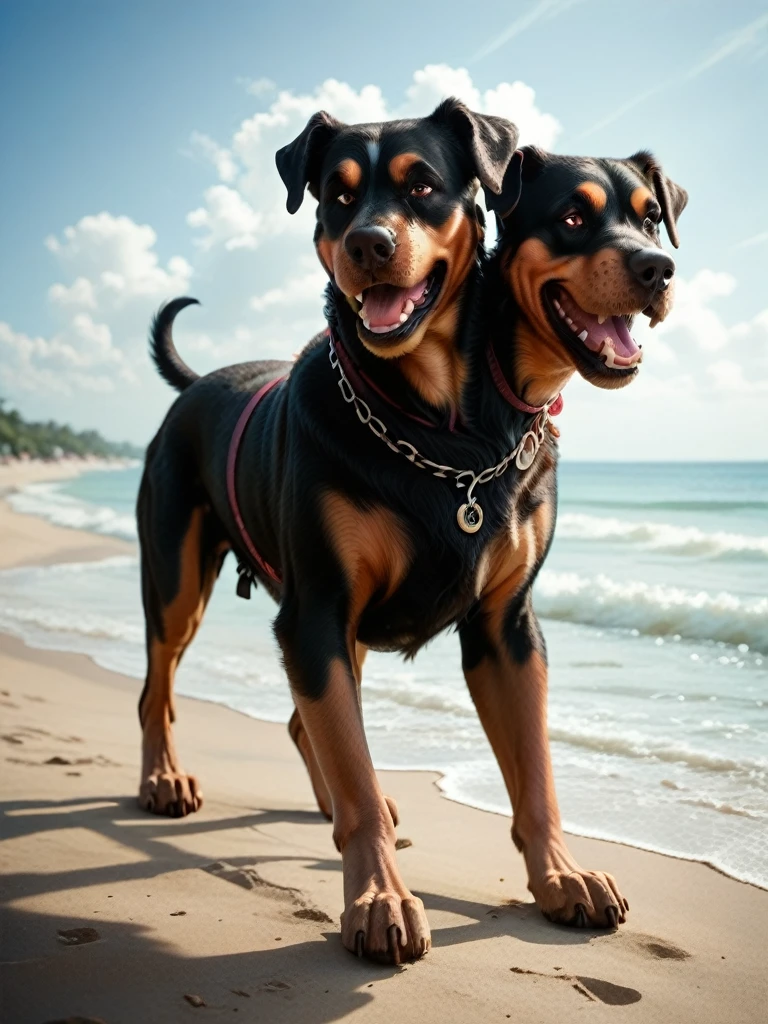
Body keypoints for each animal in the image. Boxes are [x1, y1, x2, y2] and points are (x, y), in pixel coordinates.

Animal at [137, 99, 684, 962]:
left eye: (651, 218)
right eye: (336, 196)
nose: (657, 268)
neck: (444, 426)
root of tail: (198, 385)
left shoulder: (506, 627)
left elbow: (535, 774)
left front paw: (561, 876)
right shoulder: (318, 610)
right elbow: (355, 768)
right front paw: (378, 899)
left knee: (305, 721)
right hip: (176, 576)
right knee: (158, 685)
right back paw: (163, 779)